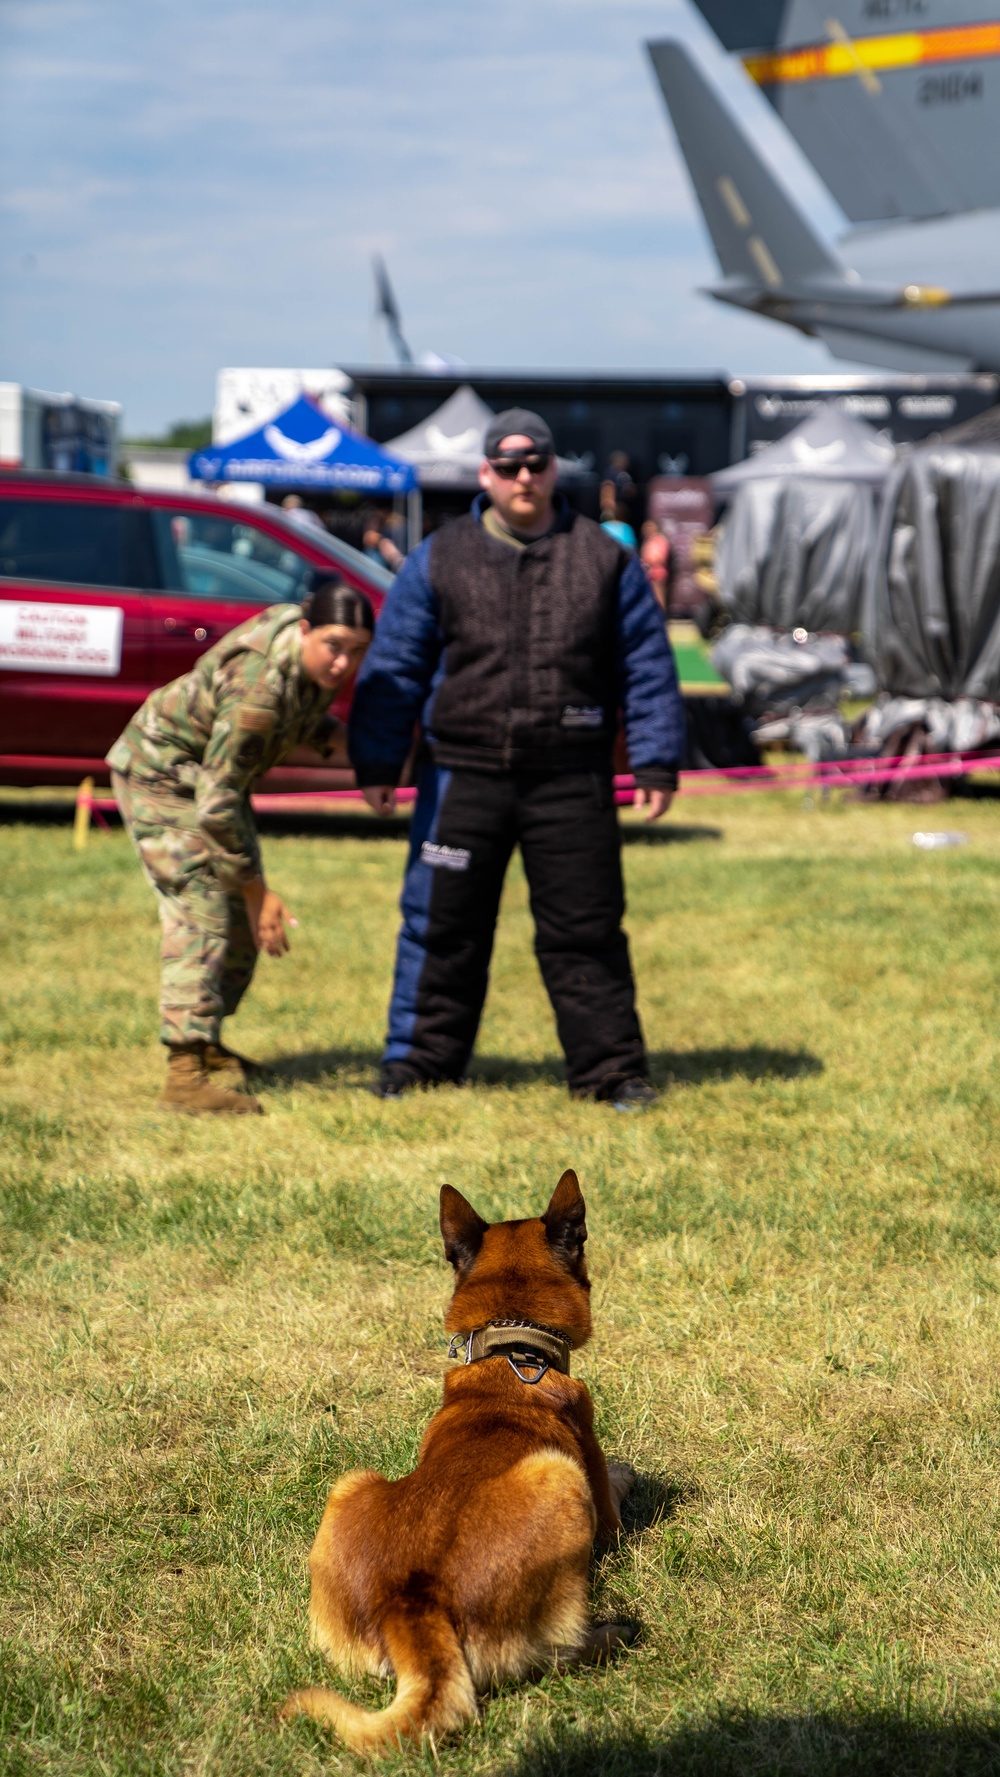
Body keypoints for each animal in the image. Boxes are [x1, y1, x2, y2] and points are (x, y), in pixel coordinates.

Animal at [280, 1165, 642, 1748]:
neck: (514, 1355)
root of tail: (413, 1604)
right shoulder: (600, 1505)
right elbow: (614, 1487)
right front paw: (626, 1472)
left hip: (349, 1482)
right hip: (559, 1477)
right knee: (552, 1655)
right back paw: (611, 1635)